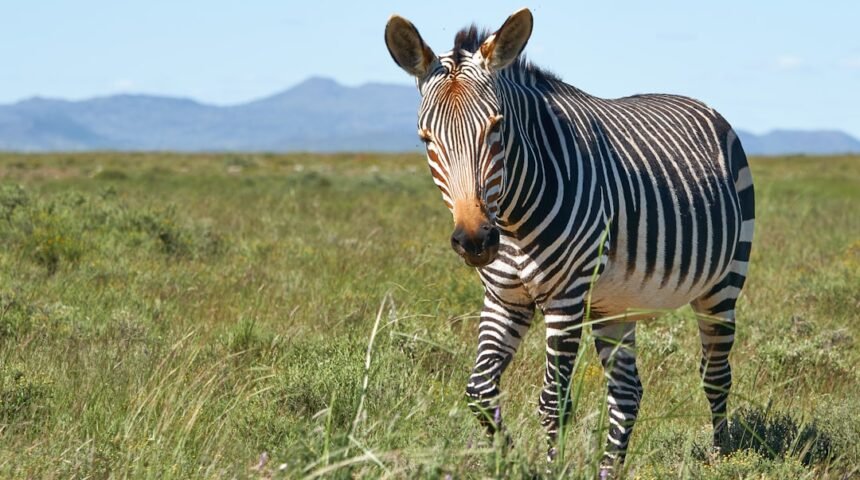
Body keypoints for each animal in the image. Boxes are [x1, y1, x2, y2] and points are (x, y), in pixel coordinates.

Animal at [384, 8, 755, 474]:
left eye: (497, 128)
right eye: (426, 139)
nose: (475, 241)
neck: (512, 219)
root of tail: (701, 104)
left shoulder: (565, 298)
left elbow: (553, 402)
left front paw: (550, 467)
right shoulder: (505, 299)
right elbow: (480, 391)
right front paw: (514, 463)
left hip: (724, 283)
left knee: (715, 373)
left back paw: (722, 456)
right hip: (614, 303)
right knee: (627, 392)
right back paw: (609, 470)